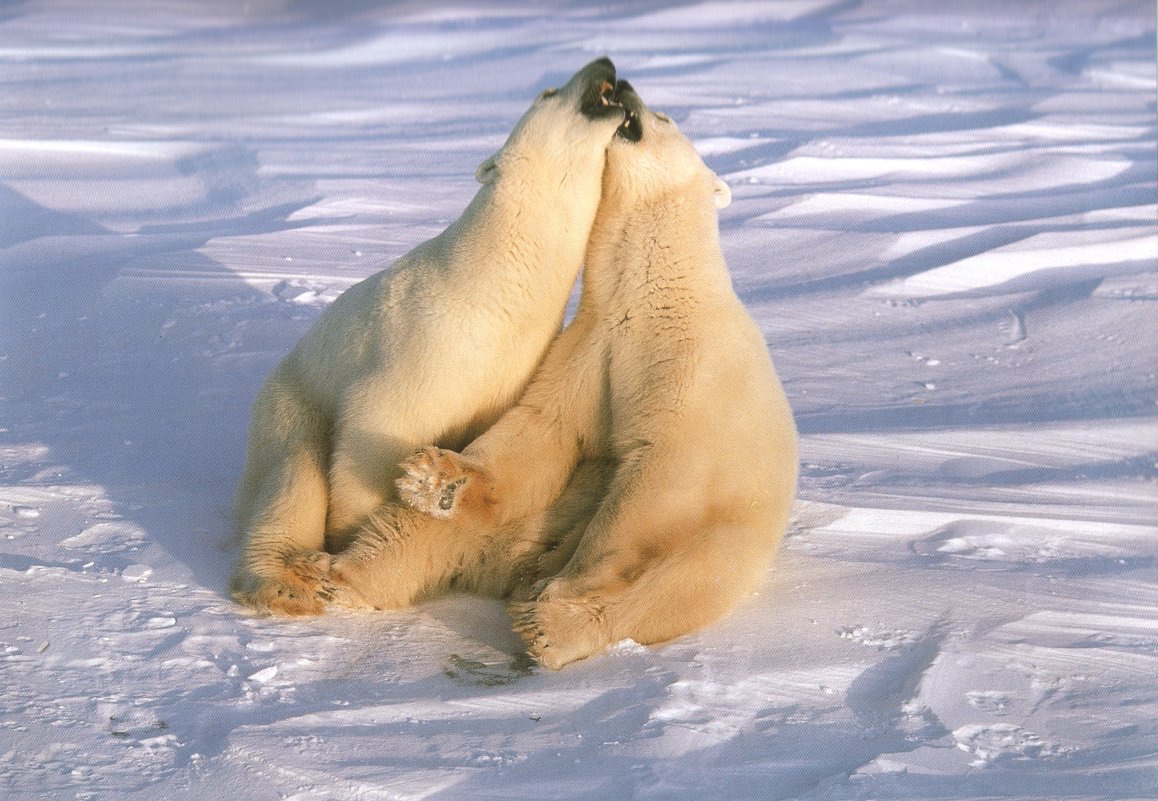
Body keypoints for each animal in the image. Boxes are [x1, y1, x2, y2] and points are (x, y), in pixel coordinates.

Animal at [231, 59, 629, 615]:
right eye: (549, 90)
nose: (607, 65)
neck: (488, 286)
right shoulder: (421, 351)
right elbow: (373, 437)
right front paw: (357, 540)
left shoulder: (511, 372)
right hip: (290, 402)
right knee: (291, 477)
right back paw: (288, 583)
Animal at [289, 81, 801, 671]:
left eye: (666, 117)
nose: (626, 87)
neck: (660, 302)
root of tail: (503, 567)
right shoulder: (589, 349)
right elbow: (543, 430)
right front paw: (441, 479)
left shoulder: (692, 376)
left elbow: (655, 482)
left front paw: (565, 587)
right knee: (410, 532)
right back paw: (338, 571)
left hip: (727, 550)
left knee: (670, 586)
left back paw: (549, 619)